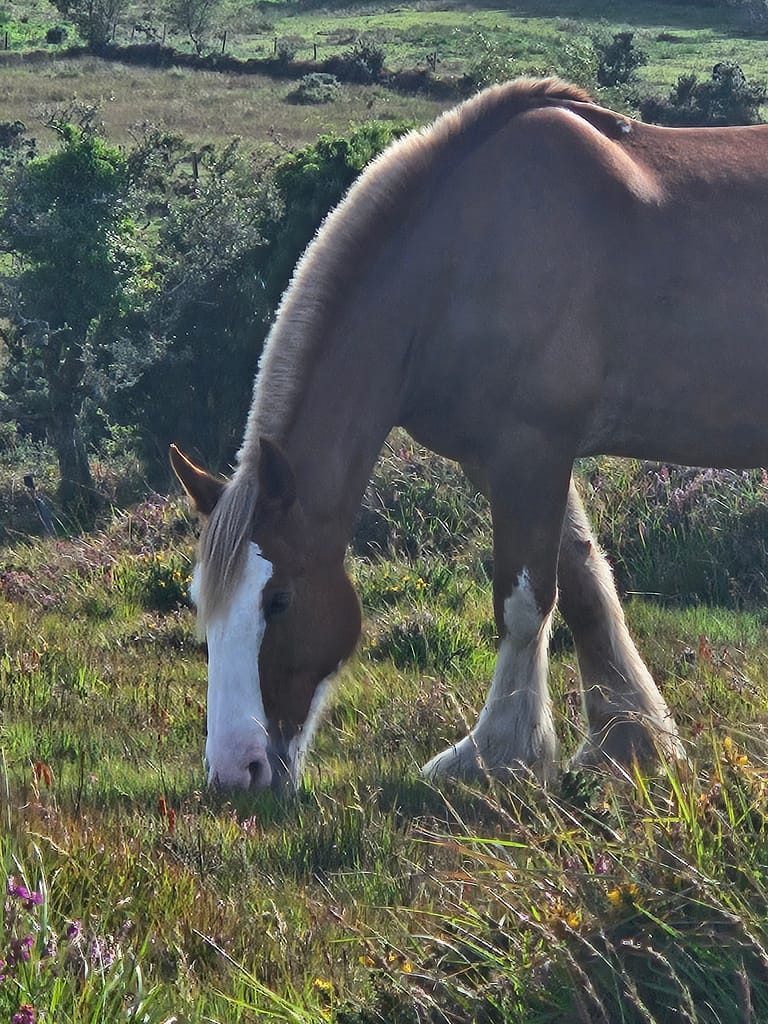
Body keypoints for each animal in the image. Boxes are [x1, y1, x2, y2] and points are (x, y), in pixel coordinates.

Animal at [170, 74, 768, 790]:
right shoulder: (504, 460)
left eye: (280, 600)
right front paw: (630, 744)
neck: (459, 263)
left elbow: (526, 603)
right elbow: (586, 588)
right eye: (202, 604)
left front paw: (497, 756)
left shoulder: (533, 450)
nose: (237, 771)